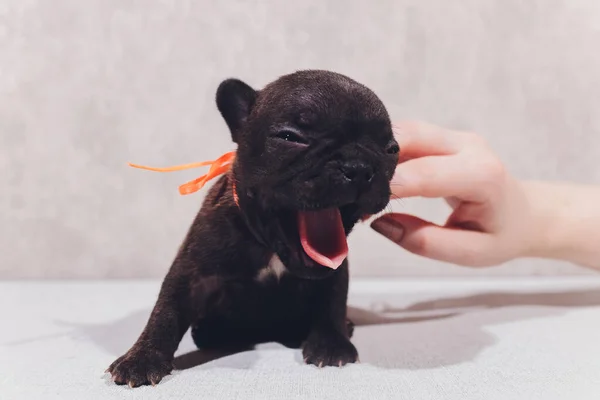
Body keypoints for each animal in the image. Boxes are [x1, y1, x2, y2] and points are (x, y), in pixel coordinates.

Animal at [106, 70, 398, 386]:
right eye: (290, 137)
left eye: (391, 149)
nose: (358, 167)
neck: (271, 247)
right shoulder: (193, 271)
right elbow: (166, 310)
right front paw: (142, 357)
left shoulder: (334, 271)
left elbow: (332, 301)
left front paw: (332, 343)